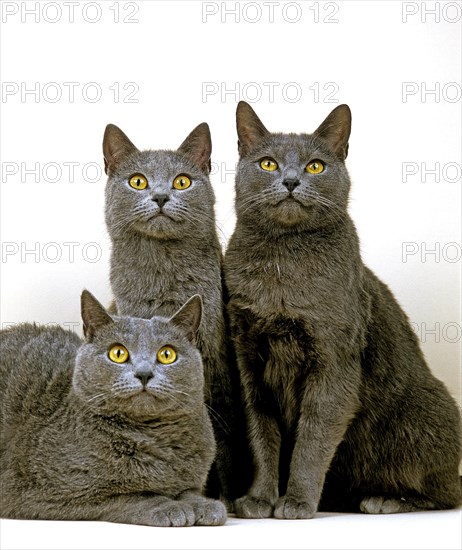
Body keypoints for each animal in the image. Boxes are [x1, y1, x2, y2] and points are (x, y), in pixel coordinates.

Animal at [0, 292, 226, 528]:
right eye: (118, 353)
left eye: (167, 354)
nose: (144, 373)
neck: (154, 438)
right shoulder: (43, 491)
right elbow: (131, 495)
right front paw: (169, 506)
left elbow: (189, 490)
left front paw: (204, 504)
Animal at [103, 124, 251, 504]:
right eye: (138, 181)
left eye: (182, 181)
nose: (159, 197)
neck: (164, 279)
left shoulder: (216, 367)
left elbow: (222, 436)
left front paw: (225, 498)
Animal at [222, 101, 460, 520]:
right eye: (268, 163)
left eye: (316, 166)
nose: (290, 180)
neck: (281, 269)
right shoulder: (249, 360)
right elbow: (261, 433)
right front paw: (259, 499)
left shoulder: (334, 363)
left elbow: (313, 437)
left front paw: (297, 502)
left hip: (424, 415)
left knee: (447, 491)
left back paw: (385, 499)